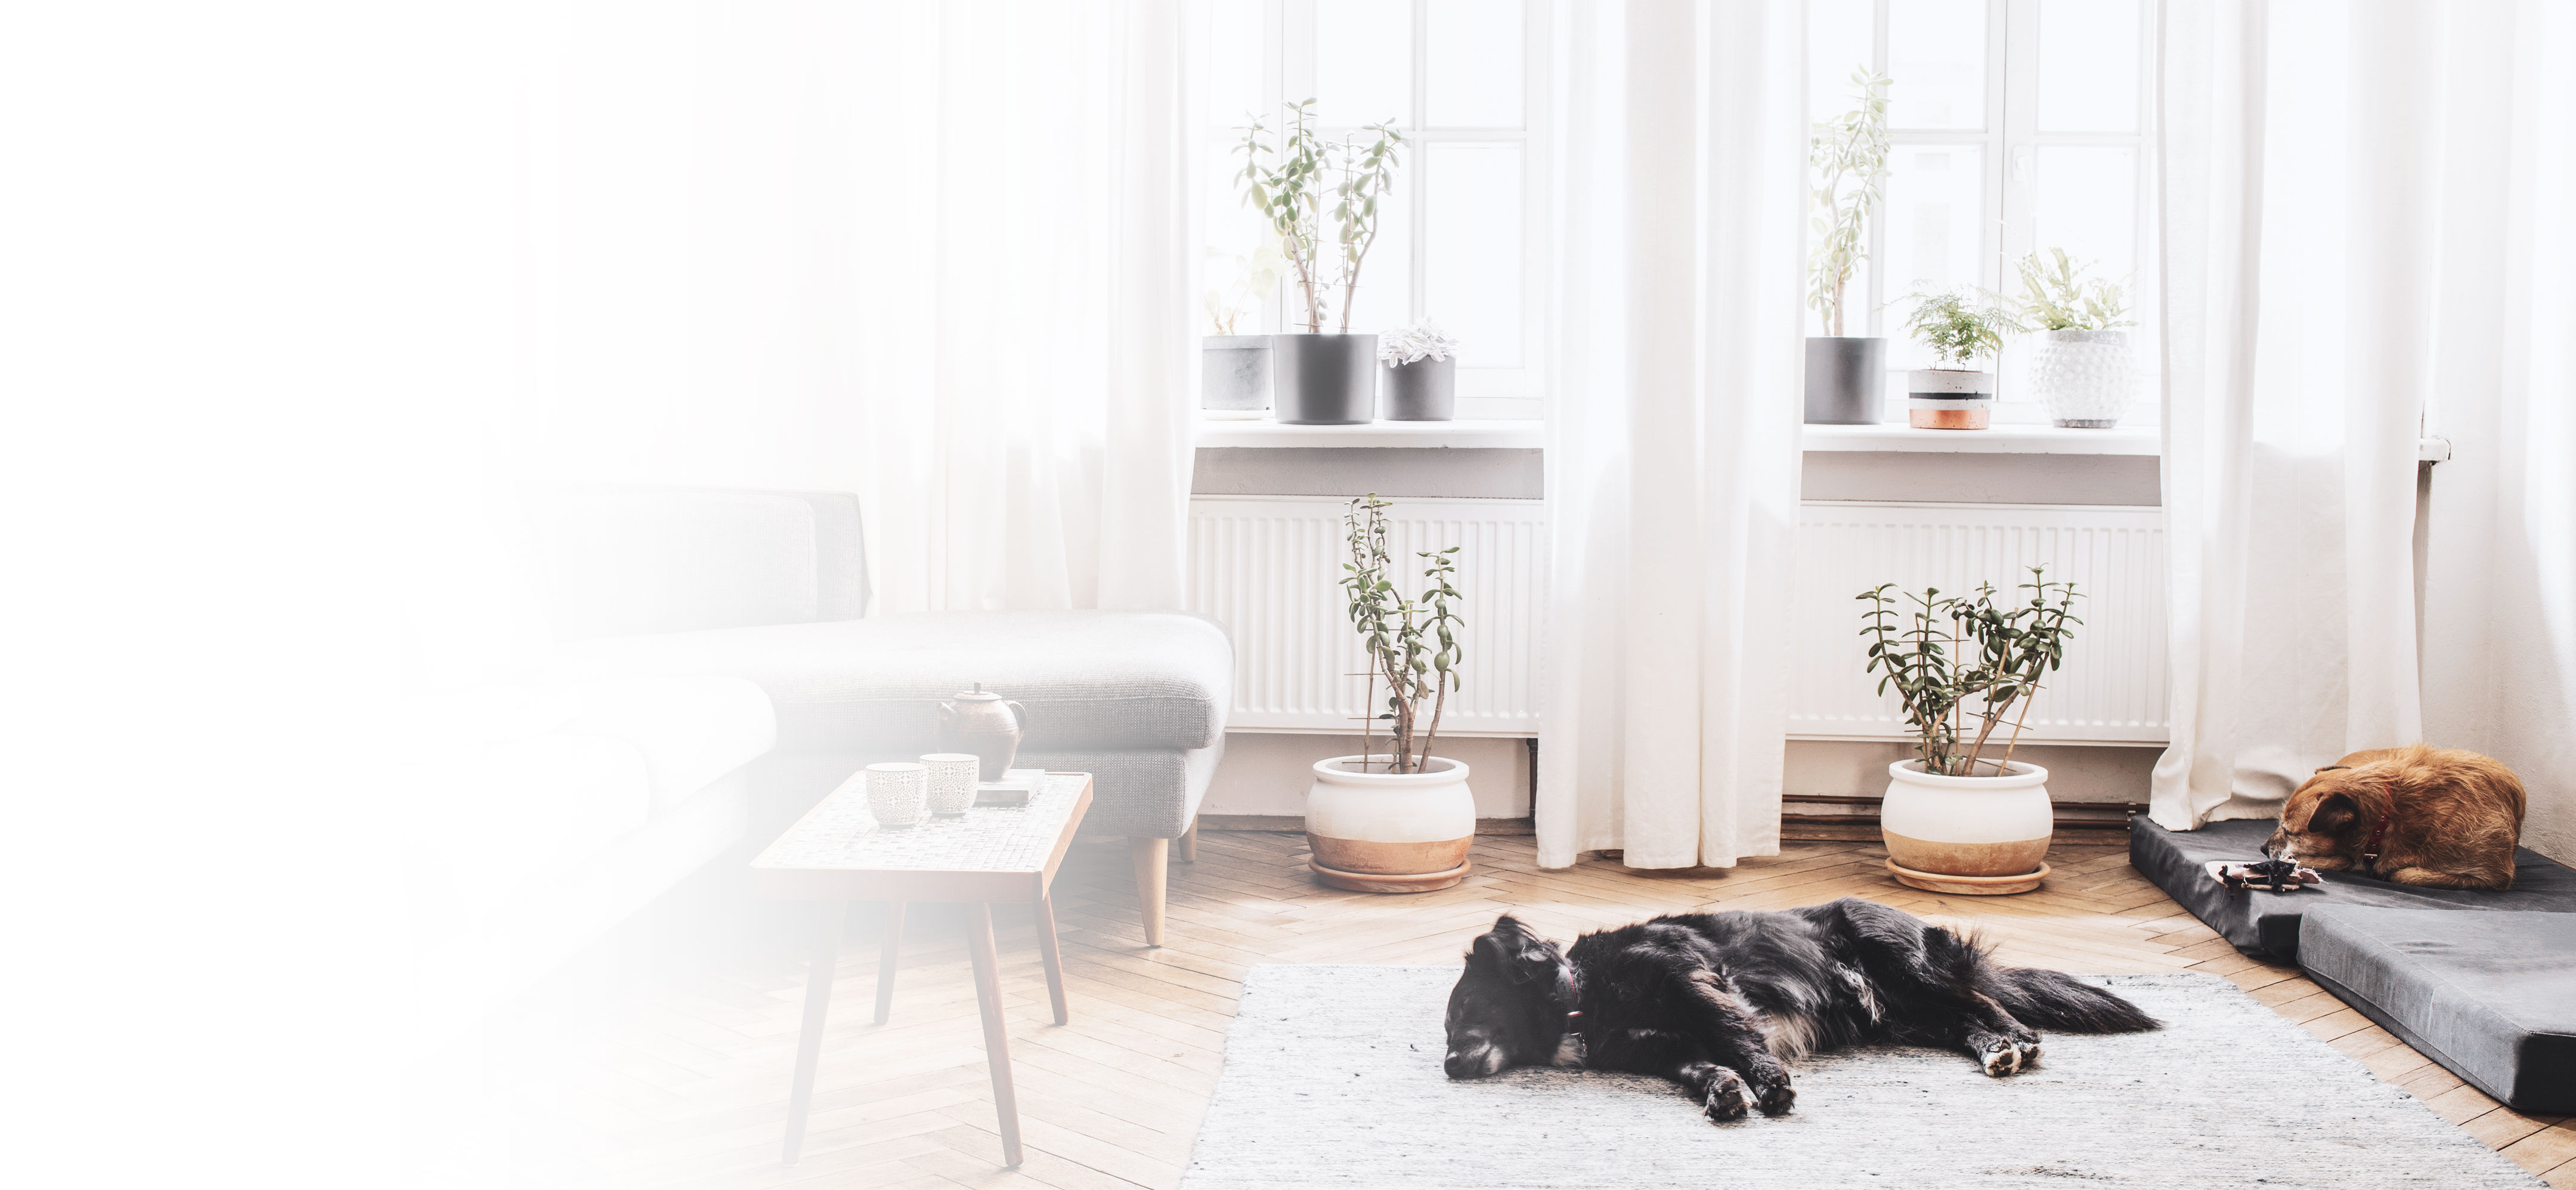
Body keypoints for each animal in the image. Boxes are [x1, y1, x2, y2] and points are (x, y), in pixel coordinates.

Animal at [1453, 907, 2153, 1118]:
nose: (1448, 1067)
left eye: (1462, 1012)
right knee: (1960, 1024)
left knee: (1984, 1000)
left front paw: (1770, 1085)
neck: (1584, 995)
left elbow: (1739, 1039)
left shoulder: (1695, 983)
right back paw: (1996, 1050)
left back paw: (2015, 1038)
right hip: (1903, 1014)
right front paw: (1725, 1094)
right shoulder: (1661, 1045)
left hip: (1905, 964)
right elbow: (1704, 1067)